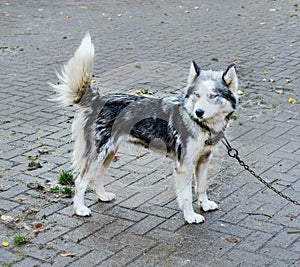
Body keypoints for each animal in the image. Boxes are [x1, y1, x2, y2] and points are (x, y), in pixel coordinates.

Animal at [52, 34, 239, 224]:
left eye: (213, 96)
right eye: (197, 95)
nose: (198, 112)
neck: (201, 125)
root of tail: (99, 99)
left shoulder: (203, 160)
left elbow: (201, 187)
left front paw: (205, 204)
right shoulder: (184, 165)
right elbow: (186, 195)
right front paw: (190, 216)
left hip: (109, 152)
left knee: (99, 175)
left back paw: (102, 196)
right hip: (98, 153)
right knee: (80, 182)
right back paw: (80, 209)